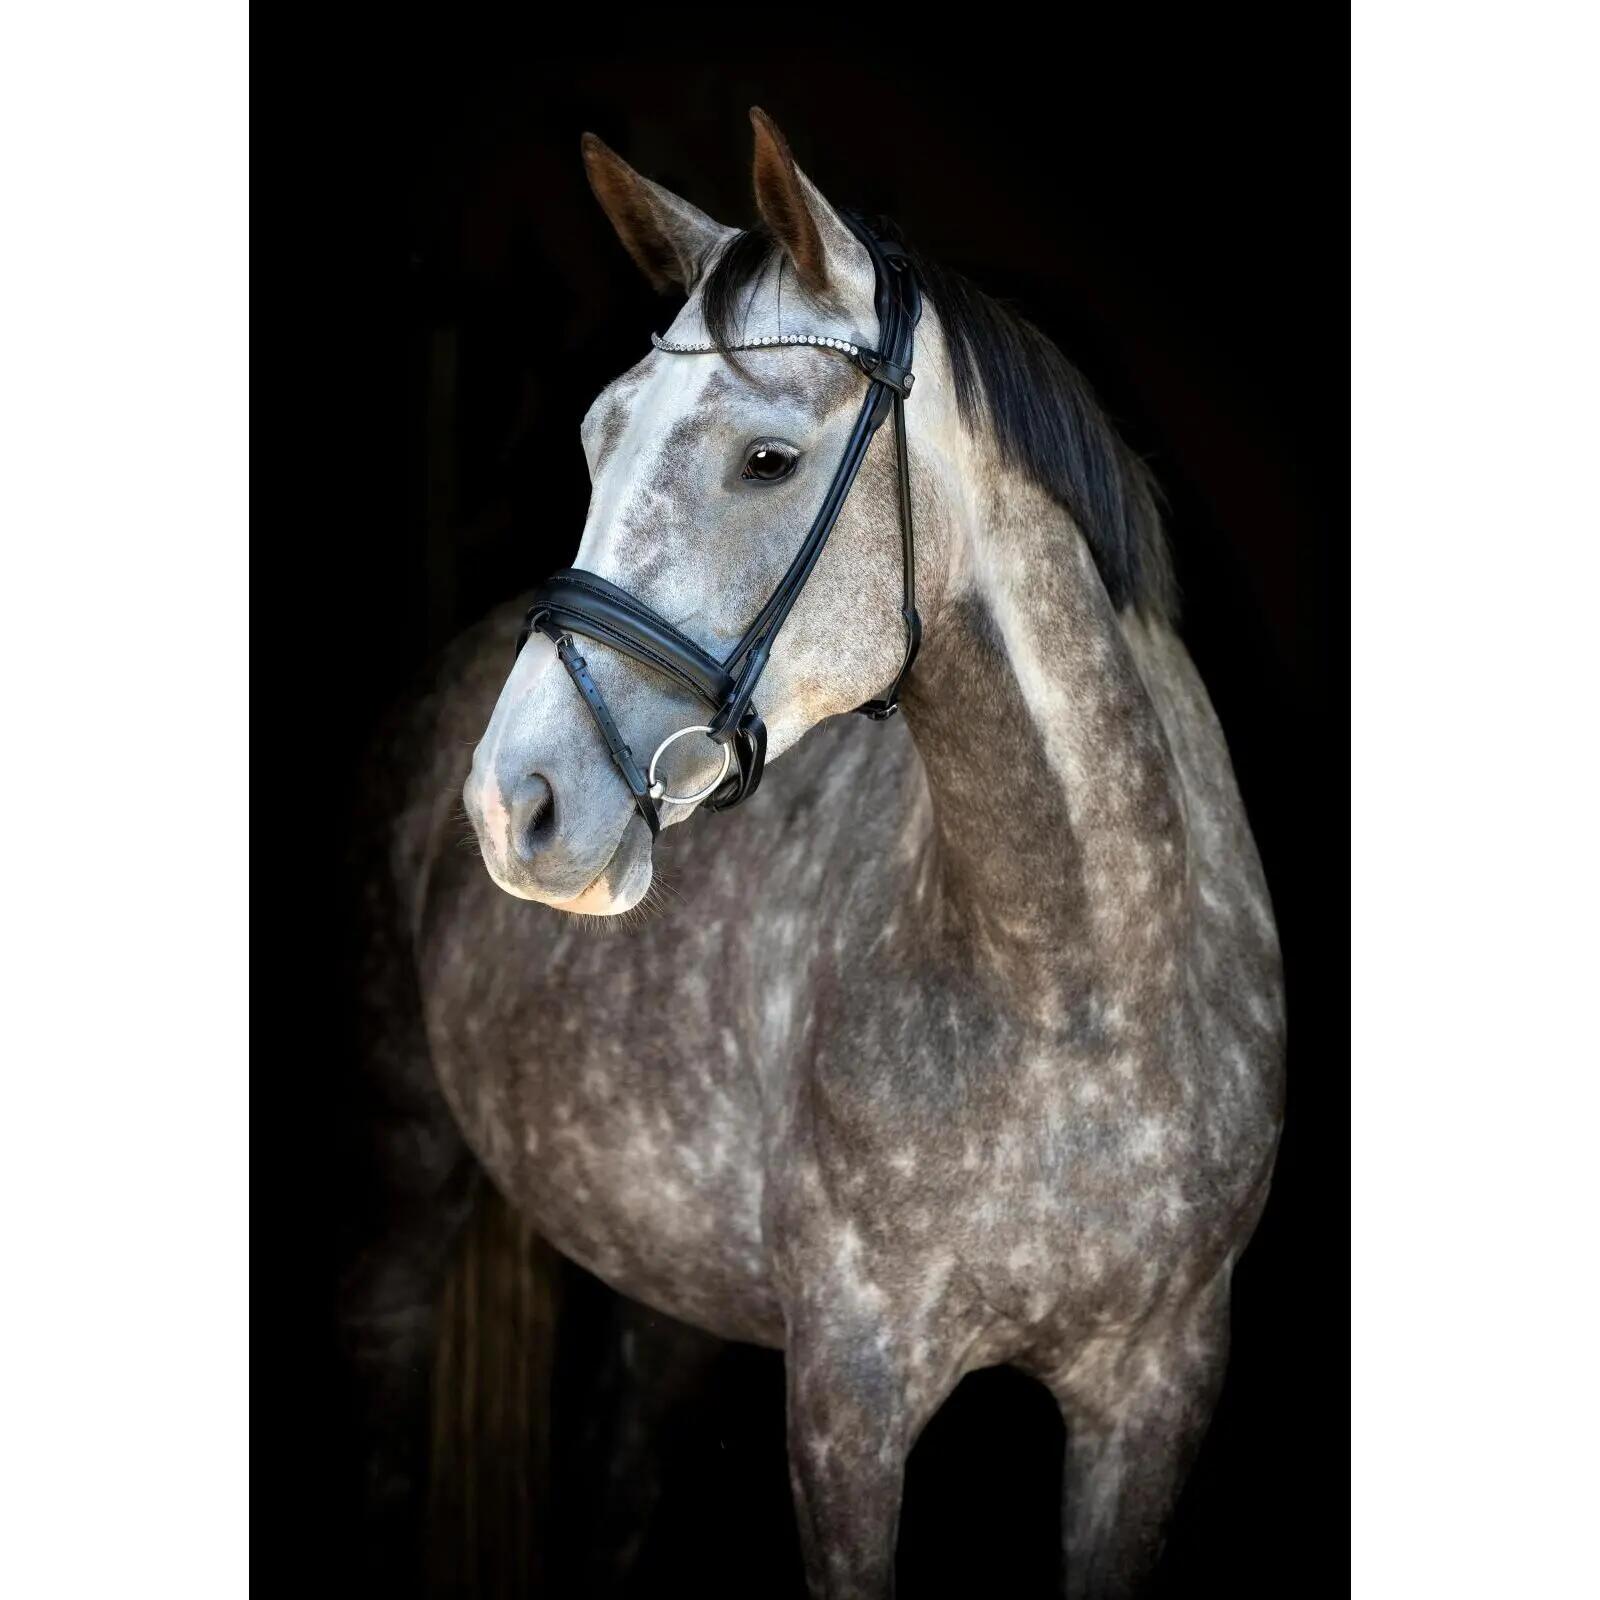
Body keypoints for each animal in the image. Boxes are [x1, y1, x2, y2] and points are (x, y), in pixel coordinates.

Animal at [341, 107, 1285, 1599]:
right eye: (598, 438)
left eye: (768, 460)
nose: (511, 806)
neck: (1079, 991)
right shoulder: (849, 1394)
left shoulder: (1157, 1395)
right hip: (403, 1191)